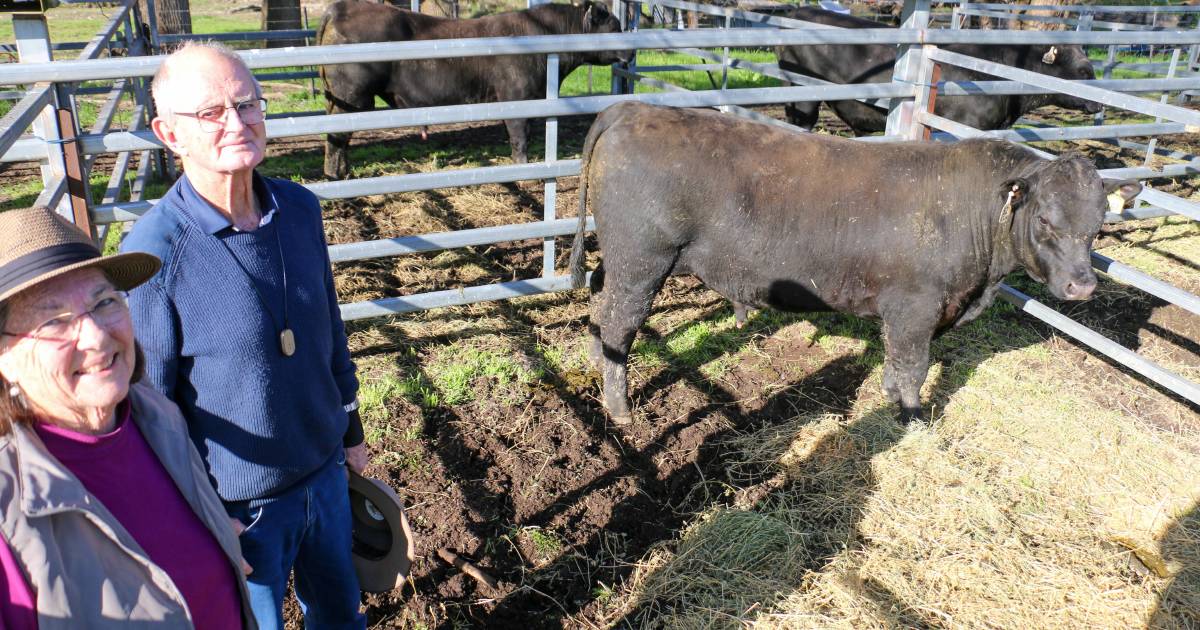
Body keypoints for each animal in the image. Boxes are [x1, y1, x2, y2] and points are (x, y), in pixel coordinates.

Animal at [319, 0, 633, 178]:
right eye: (614, 27)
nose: (630, 53)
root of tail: (339, 8)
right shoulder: (516, 98)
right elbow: (519, 137)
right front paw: (524, 173)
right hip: (353, 97)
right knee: (338, 137)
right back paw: (337, 176)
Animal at [566, 102, 1137, 422]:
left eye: (1098, 222)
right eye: (1045, 220)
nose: (1083, 287)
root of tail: (635, 109)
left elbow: (894, 365)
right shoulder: (915, 309)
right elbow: (912, 367)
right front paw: (913, 418)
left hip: (620, 259)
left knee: (599, 298)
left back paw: (594, 366)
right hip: (643, 262)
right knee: (620, 324)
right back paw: (620, 410)